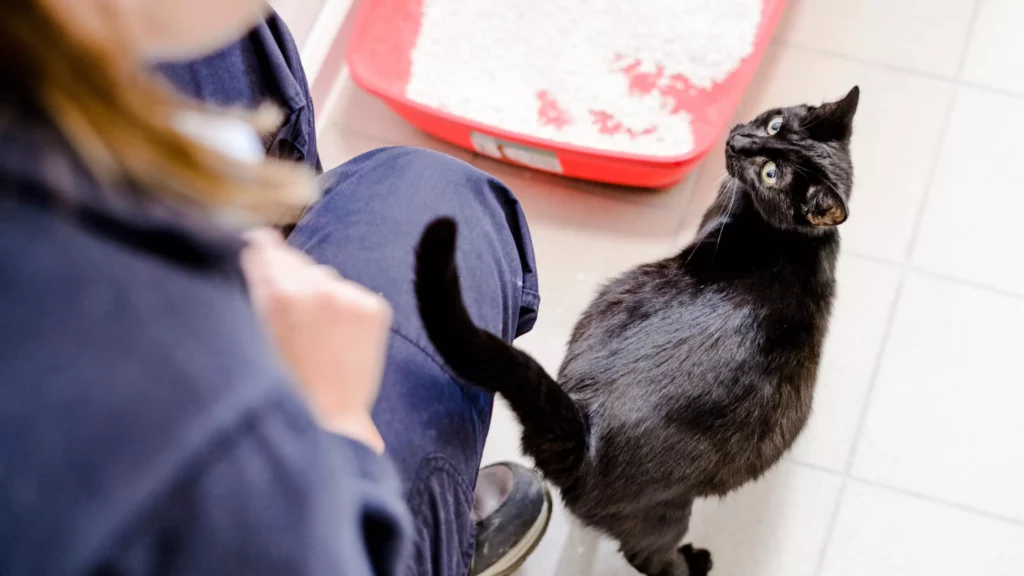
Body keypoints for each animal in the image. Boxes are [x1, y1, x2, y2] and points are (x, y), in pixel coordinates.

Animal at [413, 88, 856, 573]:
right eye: (775, 126)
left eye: (771, 174)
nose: (739, 142)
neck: (793, 238)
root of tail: (585, 429)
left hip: (662, 512)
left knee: (648, 557)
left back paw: (692, 562)